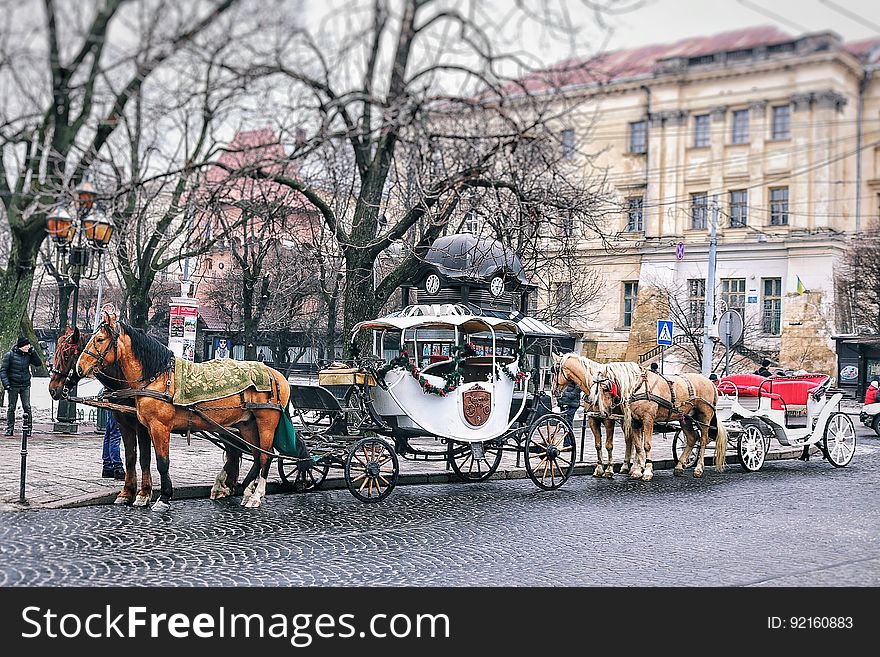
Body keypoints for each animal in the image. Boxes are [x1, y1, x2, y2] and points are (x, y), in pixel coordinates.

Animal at [47, 326, 153, 504]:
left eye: (67, 355)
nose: (52, 389)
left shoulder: (143, 426)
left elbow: (145, 457)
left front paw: (144, 493)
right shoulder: (123, 424)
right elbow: (130, 456)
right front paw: (127, 491)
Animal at [72, 310, 292, 510]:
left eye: (99, 339)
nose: (79, 368)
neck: (157, 378)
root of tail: (277, 375)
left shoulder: (159, 427)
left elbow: (161, 462)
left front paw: (163, 497)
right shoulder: (143, 426)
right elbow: (138, 457)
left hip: (266, 422)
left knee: (266, 456)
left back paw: (256, 495)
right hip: (246, 424)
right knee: (254, 455)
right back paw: (245, 491)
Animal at [592, 362, 728, 480]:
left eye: (606, 388)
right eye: (596, 389)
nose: (603, 413)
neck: (639, 387)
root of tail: (710, 382)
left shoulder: (648, 419)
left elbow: (646, 445)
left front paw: (647, 471)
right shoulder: (635, 422)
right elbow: (638, 446)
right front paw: (637, 471)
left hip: (704, 417)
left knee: (703, 440)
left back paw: (698, 469)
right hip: (685, 418)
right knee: (692, 438)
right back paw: (679, 466)